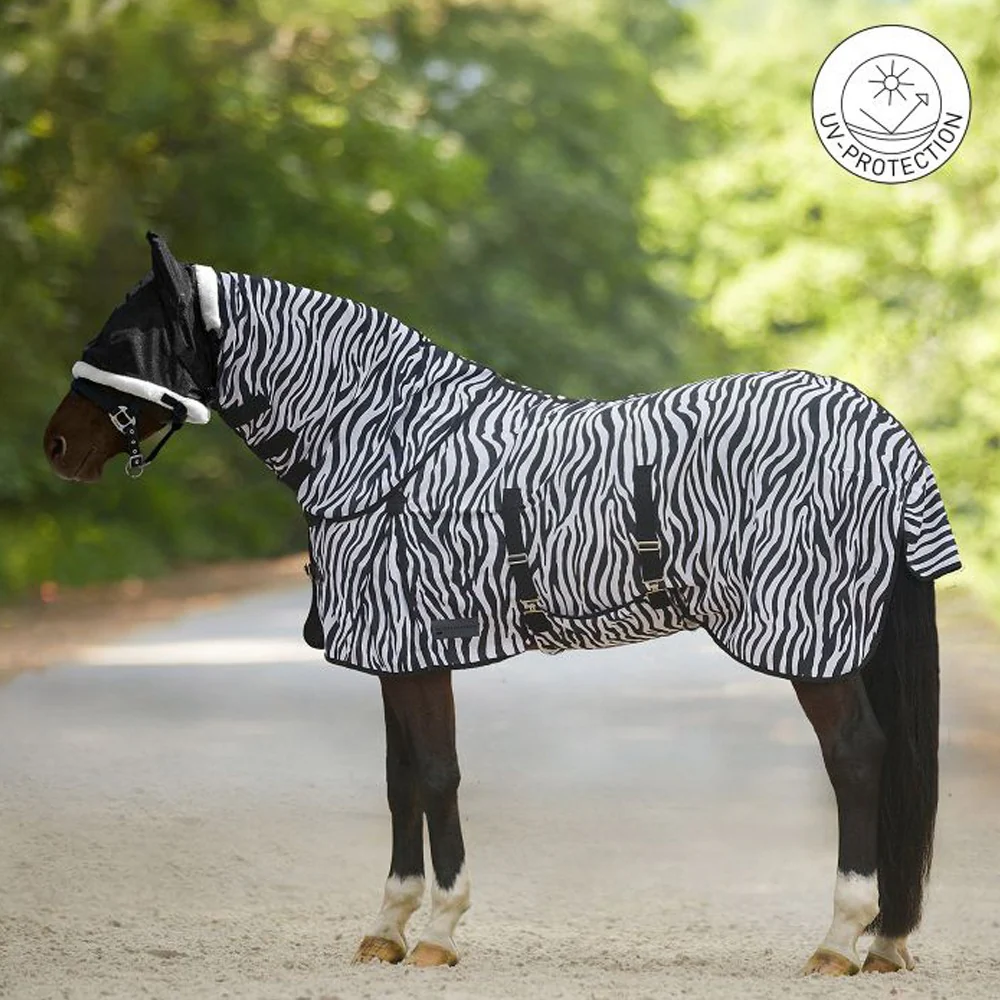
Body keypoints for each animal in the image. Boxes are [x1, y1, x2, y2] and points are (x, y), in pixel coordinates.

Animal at [43, 232, 959, 976]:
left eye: (122, 340)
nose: (54, 447)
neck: (388, 448)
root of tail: (885, 433)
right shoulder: (396, 651)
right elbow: (401, 779)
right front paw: (387, 929)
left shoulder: (418, 646)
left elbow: (437, 775)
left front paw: (439, 932)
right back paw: (884, 941)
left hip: (814, 641)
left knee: (858, 758)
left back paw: (839, 941)